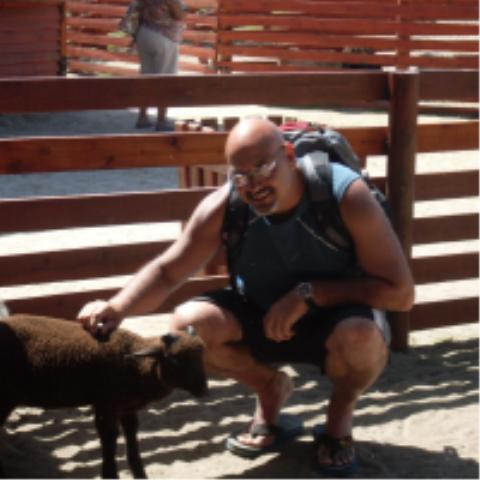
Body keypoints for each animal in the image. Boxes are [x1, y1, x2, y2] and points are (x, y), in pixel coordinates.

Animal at [0, 312, 208, 479]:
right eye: (173, 360)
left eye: (201, 357)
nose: (203, 389)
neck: (135, 366)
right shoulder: (105, 405)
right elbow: (109, 439)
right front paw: (110, 474)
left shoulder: (127, 408)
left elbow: (131, 437)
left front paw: (139, 473)